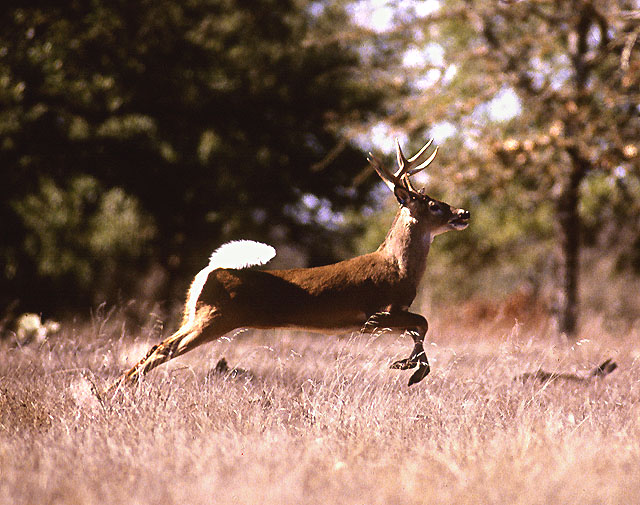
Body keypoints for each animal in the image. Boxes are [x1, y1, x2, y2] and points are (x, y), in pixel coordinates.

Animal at [107, 139, 470, 394]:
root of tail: (210, 271)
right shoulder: (378, 313)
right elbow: (422, 322)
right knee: (163, 348)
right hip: (214, 318)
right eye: (434, 206)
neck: (398, 268)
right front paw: (413, 369)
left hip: (196, 315)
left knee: (157, 345)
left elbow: (419, 327)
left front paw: (408, 365)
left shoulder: (388, 316)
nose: (464, 213)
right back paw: (111, 392)